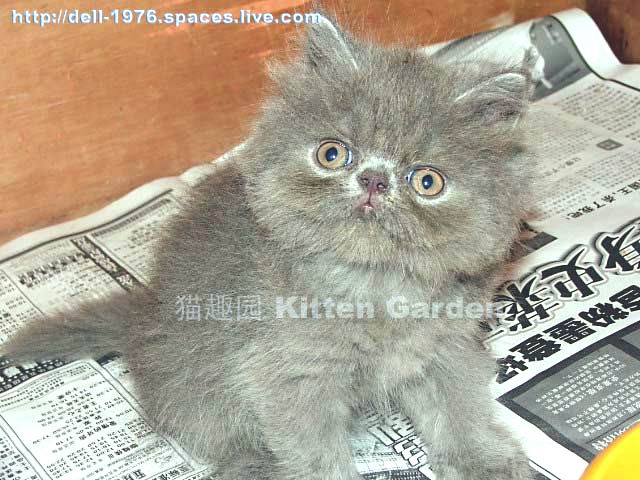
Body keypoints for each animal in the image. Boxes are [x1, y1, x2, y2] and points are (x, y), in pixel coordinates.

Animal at [2, 12, 539, 480]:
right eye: (332, 154)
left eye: (427, 182)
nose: (373, 180)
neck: (372, 287)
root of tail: (142, 314)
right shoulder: (288, 376)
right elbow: (315, 453)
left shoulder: (444, 349)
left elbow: (458, 411)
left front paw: (485, 463)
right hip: (199, 387)